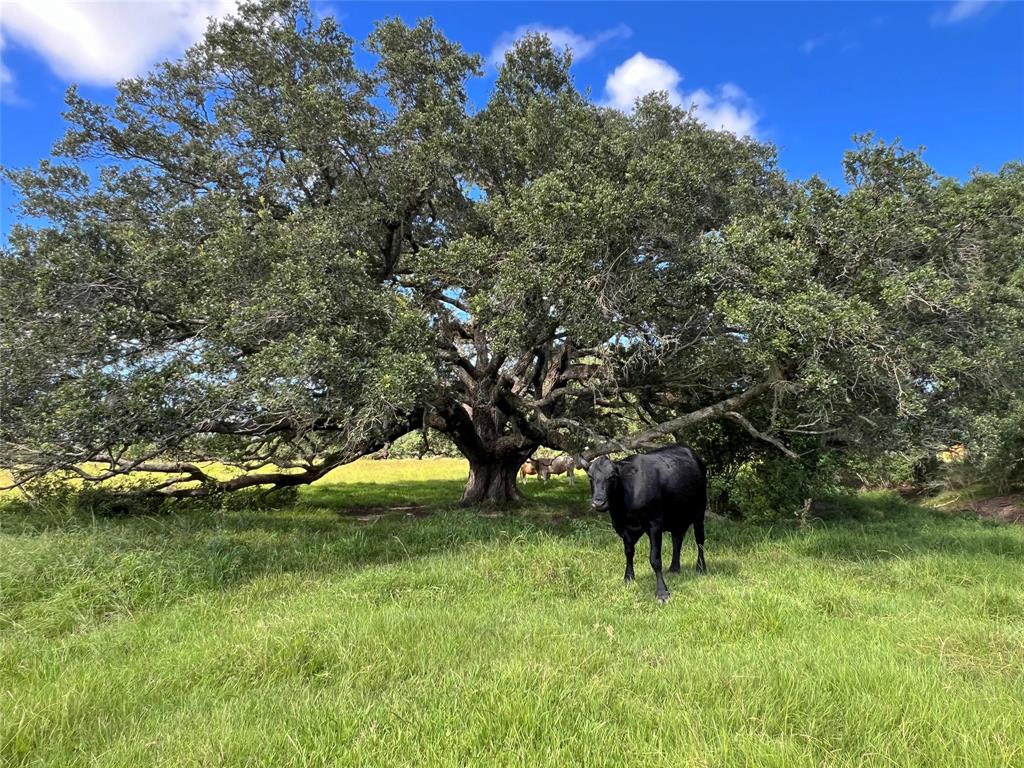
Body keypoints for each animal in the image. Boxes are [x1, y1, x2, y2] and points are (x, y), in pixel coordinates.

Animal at [581, 448, 708, 606]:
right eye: (590, 477)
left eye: (612, 477)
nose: (598, 503)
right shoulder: (623, 528)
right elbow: (629, 553)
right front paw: (628, 578)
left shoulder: (655, 524)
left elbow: (655, 559)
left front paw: (662, 592)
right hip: (677, 517)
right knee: (677, 540)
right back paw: (674, 568)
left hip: (700, 512)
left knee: (700, 541)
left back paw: (701, 567)